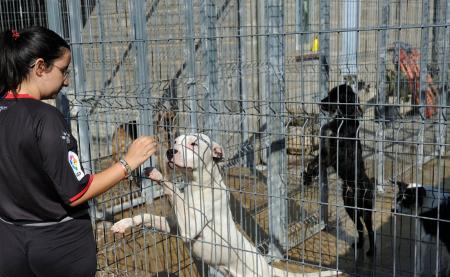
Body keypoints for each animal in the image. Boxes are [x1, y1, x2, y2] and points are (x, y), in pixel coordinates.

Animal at [110, 133, 340, 274]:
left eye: (194, 143)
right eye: (175, 142)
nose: (169, 152)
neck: (198, 185)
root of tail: (268, 267)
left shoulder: (189, 226)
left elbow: (173, 189)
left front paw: (158, 174)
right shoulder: (174, 226)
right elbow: (146, 216)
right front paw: (123, 224)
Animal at [302, 83, 376, 254]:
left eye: (333, 95)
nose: (320, 102)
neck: (343, 119)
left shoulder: (333, 155)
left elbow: (317, 163)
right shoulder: (324, 152)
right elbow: (312, 164)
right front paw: (307, 177)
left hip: (366, 210)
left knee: (370, 229)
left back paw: (371, 251)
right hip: (350, 207)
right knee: (360, 228)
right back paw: (359, 245)